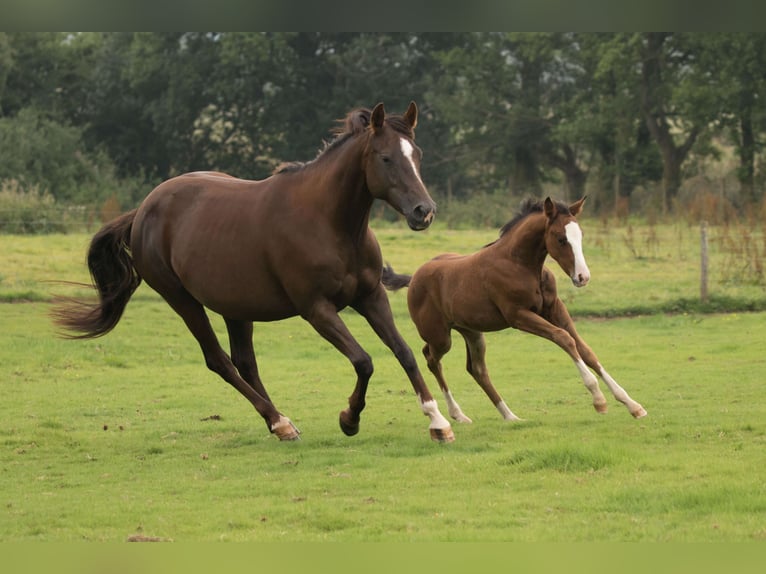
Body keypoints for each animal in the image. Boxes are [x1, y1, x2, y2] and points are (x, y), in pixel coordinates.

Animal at [53, 102, 455, 443]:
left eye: (417, 155)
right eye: (386, 158)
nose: (424, 211)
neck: (331, 223)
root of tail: (143, 210)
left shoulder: (370, 297)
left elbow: (403, 352)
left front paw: (439, 422)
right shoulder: (317, 309)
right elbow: (364, 361)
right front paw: (349, 419)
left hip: (236, 307)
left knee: (245, 362)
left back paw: (282, 422)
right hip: (182, 301)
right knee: (219, 360)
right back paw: (278, 422)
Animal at [382, 196, 647, 424]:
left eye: (580, 235)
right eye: (560, 238)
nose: (583, 277)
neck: (521, 265)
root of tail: (414, 278)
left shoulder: (554, 309)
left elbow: (585, 349)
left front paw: (632, 404)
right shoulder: (519, 316)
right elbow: (564, 339)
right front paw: (599, 399)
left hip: (473, 333)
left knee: (477, 369)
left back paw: (510, 416)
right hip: (440, 337)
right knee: (430, 358)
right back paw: (458, 415)